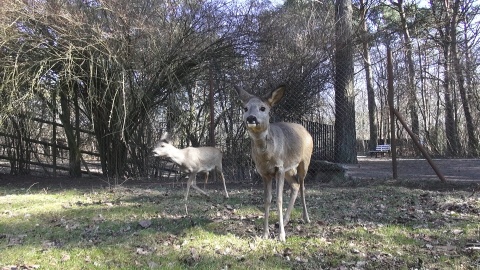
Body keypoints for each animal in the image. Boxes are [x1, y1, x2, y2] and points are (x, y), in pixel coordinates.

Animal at [234, 85, 314, 243]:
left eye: (263, 108)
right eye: (245, 108)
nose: (251, 118)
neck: (267, 156)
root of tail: (306, 131)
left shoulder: (279, 168)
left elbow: (279, 199)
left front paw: (281, 236)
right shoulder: (264, 173)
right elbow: (267, 200)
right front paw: (265, 234)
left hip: (304, 162)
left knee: (302, 186)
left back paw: (306, 218)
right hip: (290, 169)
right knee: (295, 185)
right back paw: (286, 220)